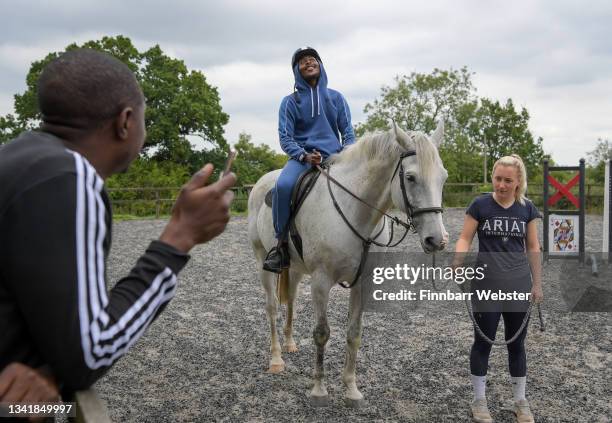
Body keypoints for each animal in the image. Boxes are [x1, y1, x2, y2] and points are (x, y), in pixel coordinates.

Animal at [246, 121, 448, 408]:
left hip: (294, 269)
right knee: (272, 307)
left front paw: (351, 390)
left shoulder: (362, 283)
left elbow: (354, 333)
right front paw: (319, 391)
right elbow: (321, 333)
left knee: (291, 302)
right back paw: (276, 359)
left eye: (443, 177)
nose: (437, 240)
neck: (355, 213)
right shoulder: (321, 282)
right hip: (262, 260)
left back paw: (290, 344)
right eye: (410, 177)